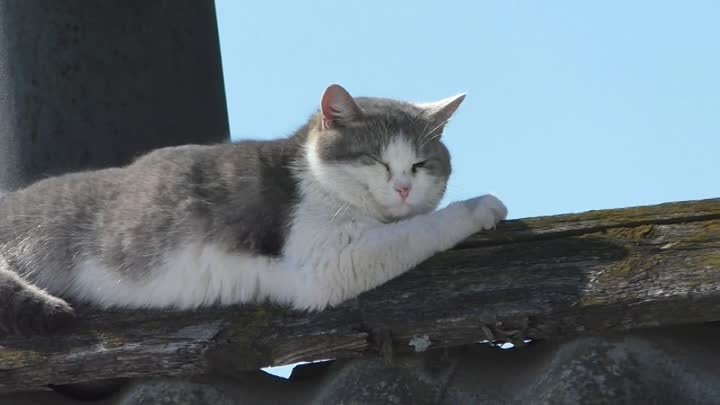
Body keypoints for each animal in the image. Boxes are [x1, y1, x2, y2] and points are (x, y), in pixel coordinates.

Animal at [0, 83, 506, 334]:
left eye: (420, 164)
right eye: (375, 160)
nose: (402, 188)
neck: (312, 174)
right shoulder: (324, 262)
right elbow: (423, 229)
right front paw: (481, 206)